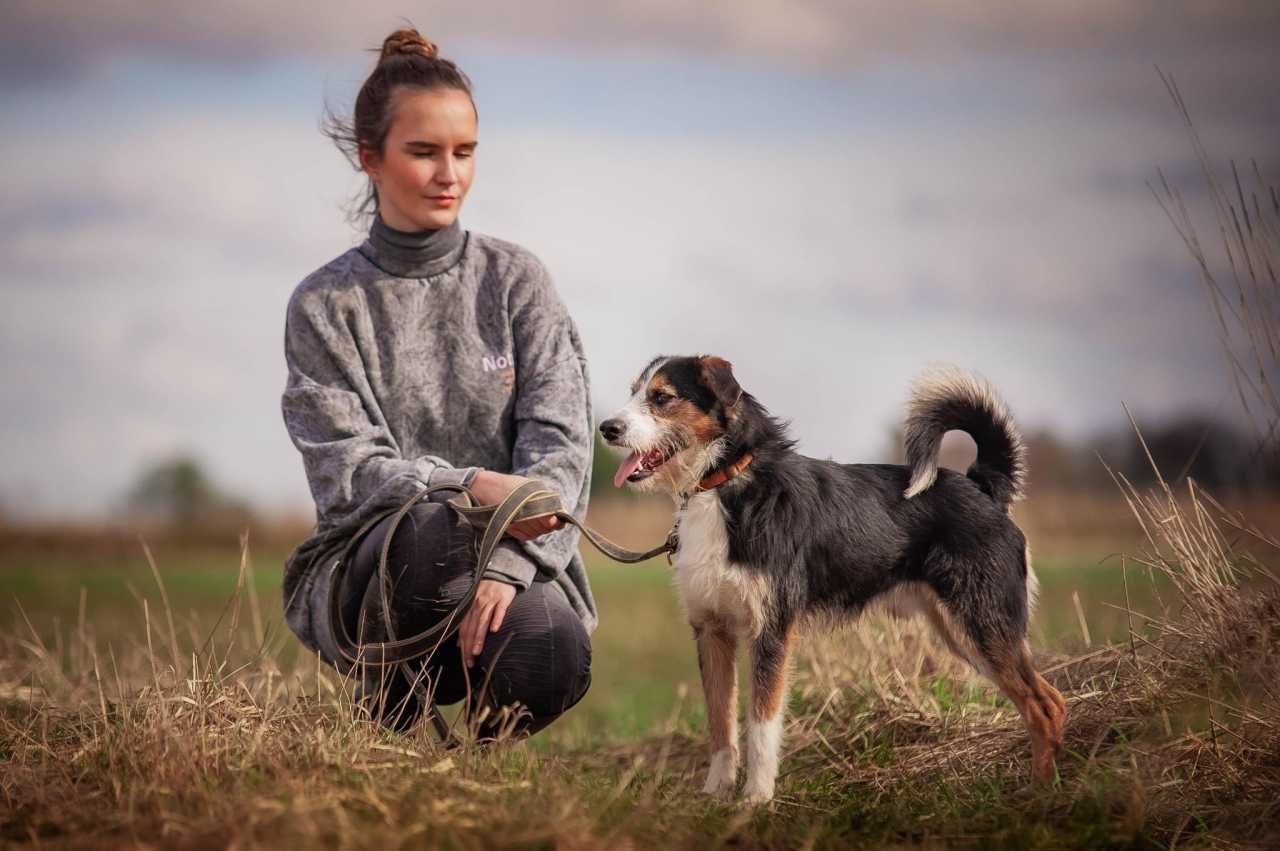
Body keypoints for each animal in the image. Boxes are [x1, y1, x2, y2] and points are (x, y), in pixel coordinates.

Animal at [601, 355, 1070, 803]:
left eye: (662, 397)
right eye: (634, 392)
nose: (607, 429)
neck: (724, 483)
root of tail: (983, 487)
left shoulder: (771, 632)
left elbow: (762, 725)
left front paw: (756, 798)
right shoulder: (711, 630)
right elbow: (721, 724)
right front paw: (715, 794)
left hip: (984, 626)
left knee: (1045, 707)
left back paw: (1040, 794)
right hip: (965, 633)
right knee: (1052, 701)